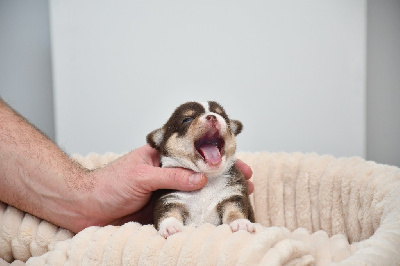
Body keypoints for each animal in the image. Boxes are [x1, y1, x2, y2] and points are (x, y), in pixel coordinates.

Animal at [146, 101, 253, 238]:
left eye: (222, 115)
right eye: (187, 119)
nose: (212, 117)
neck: (208, 179)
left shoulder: (232, 195)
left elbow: (235, 211)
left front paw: (241, 223)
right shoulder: (169, 199)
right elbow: (167, 214)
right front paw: (170, 227)